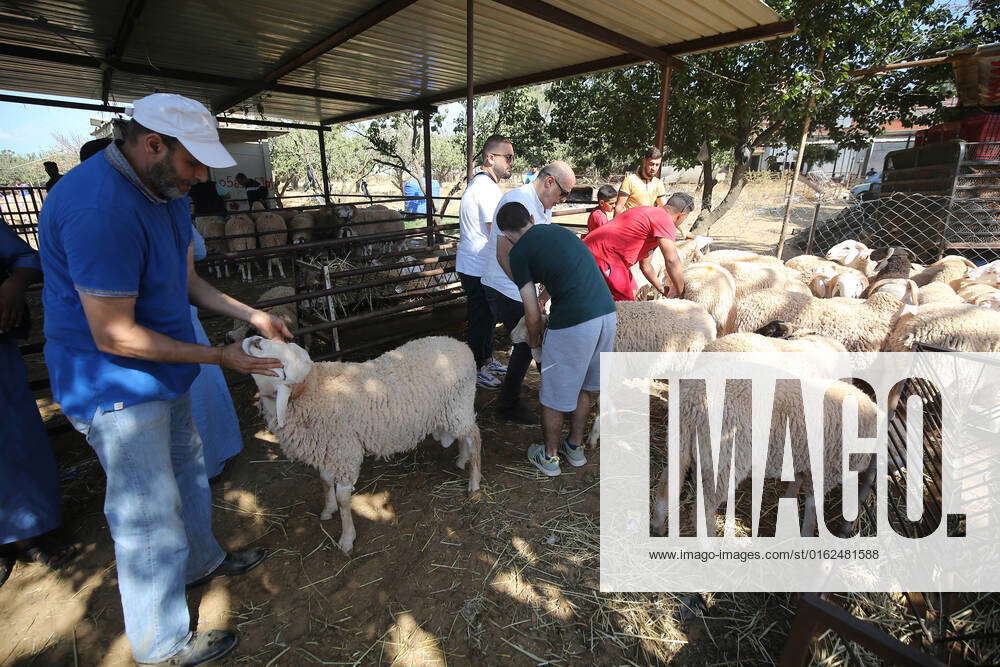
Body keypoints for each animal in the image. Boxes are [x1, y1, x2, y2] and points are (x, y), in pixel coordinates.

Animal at [244, 334, 482, 552]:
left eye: (283, 366)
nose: (255, 340)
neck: (316, 390)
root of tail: (462, 346)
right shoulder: (327, 448)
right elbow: (325, 482)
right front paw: (328, 509)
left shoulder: (345, 452)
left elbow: (344, 500)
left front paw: (347, 538)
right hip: (455, 410)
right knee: (465, 436)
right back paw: (462, 459)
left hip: (457, 405)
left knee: (475, 437)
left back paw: (474, 482)